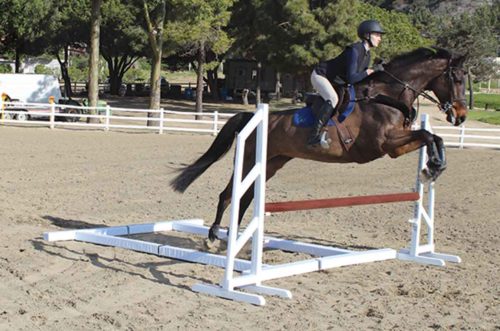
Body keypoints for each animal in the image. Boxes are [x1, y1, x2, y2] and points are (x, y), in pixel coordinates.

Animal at [170, 47, 466, 241]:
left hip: (271, 163)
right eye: (458, 79)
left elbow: (432, 137)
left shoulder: (395, 147)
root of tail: (251, 115)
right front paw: (433, 166)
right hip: (249, 160)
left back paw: (231, 238)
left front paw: (432, 168)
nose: (461, 116)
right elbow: (428, 136)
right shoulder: (384, 144)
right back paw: (213, 236)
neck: (387, 96)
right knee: (228, 195)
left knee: (245, 197)